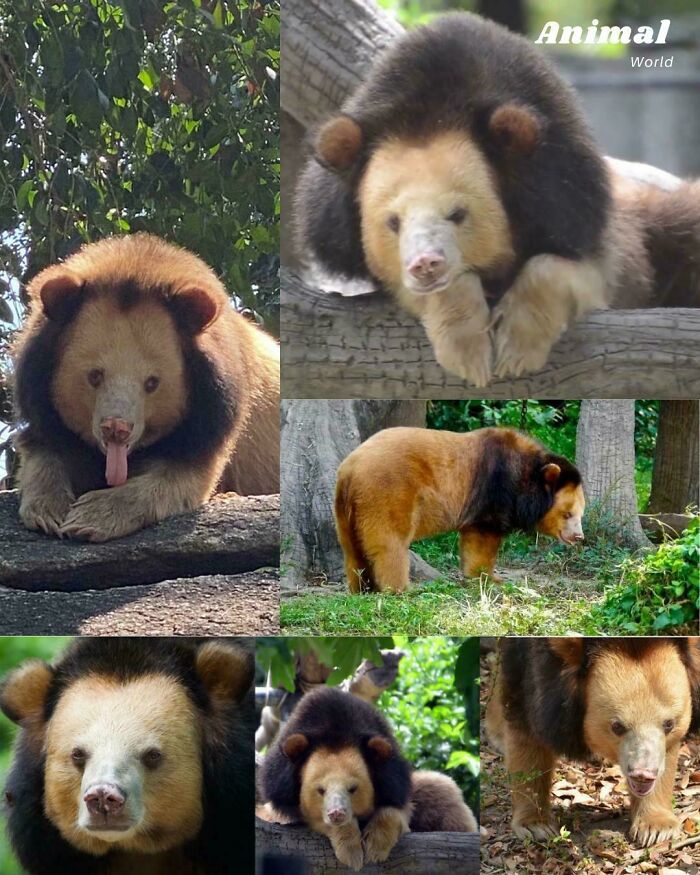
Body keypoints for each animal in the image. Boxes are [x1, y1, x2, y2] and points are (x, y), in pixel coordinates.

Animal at [12, 233, 280, 541]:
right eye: (94, 376)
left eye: (152, 383)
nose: (116, 429)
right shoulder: (40, 390)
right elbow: (43, 449)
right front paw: (48, 512)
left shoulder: (213, 415)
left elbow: (182, 477)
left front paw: (90, 516)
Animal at [259, 686, 477, 871]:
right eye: (320, 790)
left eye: (353, 788)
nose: (336, 814)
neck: (335, 731)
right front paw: (351, 851)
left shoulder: (394, 779)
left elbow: (398, 810)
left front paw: (375, 847)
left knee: (443, 792)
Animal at [295, 12, 700, 385]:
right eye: (392, 222)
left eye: (458, 214)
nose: (426, 264)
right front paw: (468, 353)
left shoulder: (572, 200)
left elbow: (584, 268)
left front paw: (513, 350)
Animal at [334, 426, 584, 593]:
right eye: (567, 514)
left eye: (581, 513)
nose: (578, 536)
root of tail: (350, 471)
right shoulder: (495, 486)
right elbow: (483, 535)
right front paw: (489, 577)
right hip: (387, 493)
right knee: (390, 544)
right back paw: (401, 589)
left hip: (346, 510)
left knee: (352, 549)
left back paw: (362, 588)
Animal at [485, 637, 700, 847]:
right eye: (617, 726)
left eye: (669, 724)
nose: (642, 775)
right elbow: (527, 734)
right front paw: (536, 826)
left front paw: (656, 827)